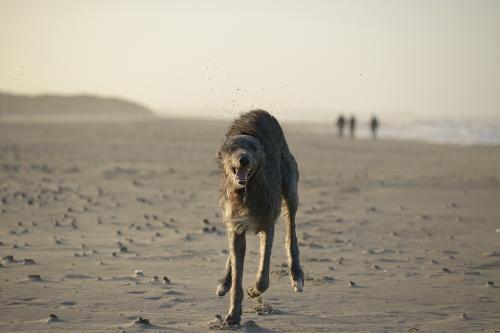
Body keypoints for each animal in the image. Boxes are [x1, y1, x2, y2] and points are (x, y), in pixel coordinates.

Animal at [216, 109, 304, 324]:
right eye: (232, 148)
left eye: (253, 148)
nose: (244, 160)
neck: (246, 190)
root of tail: (260, 112)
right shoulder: (235, 222)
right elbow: (237, 269)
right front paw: (233, 314)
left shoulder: (267, 221)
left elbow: (263, 275)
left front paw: (254, 290)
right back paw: (225, 281)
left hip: (290, 187)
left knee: (291, 233)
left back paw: (297, 275)